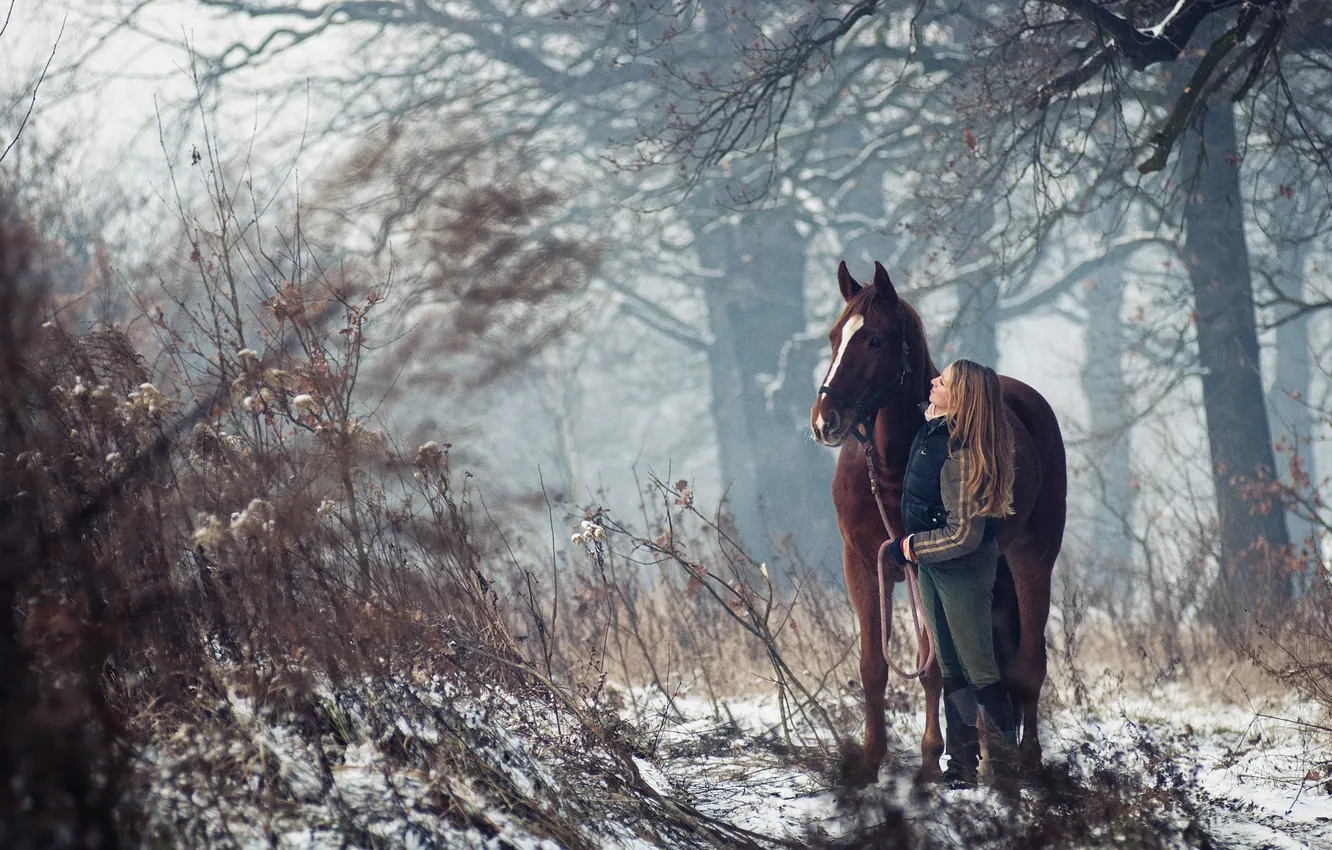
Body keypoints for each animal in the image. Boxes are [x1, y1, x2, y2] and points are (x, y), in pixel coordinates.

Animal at [804, 261, 1065, 788]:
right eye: (834, 336)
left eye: (875, 340)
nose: (825, 421)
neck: (893, 465)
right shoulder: (863, 564)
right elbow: (873, 665)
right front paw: (869, 762)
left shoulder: (924, 567)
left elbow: (935, 670)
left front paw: (929, 761)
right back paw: (991, 758)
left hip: (1033, 559)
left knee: (1028, 663)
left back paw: (1025, 765)